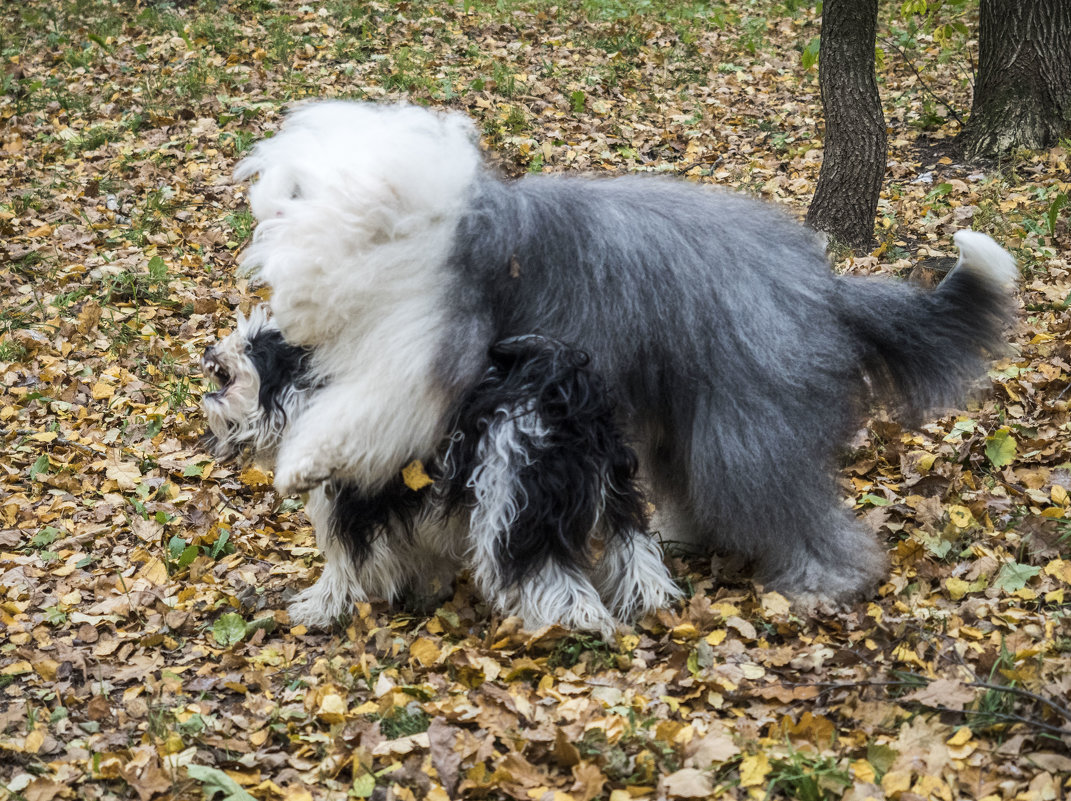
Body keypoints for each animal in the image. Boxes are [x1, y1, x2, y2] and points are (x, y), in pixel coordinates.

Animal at [201, 308, 676, 633]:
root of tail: (561, 390)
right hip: (610, 489)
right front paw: (427, 591)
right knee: (632, 546)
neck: (309, 390)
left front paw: (320, 608)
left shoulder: (350, 506)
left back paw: (574, 625)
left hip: (511, 502)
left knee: (545, 571)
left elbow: (343, 563)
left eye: (254, 346)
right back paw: (650, 601)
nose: (208, 348)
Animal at [230, 98, 1015, 612]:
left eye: (297, 194)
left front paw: (302, 463)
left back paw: (828, 580)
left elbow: (366, 409)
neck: (402, 226)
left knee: (782, 494)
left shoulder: (427, 350)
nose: (266, 227)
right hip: (680, 406)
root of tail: (821, 282)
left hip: (747, 417)